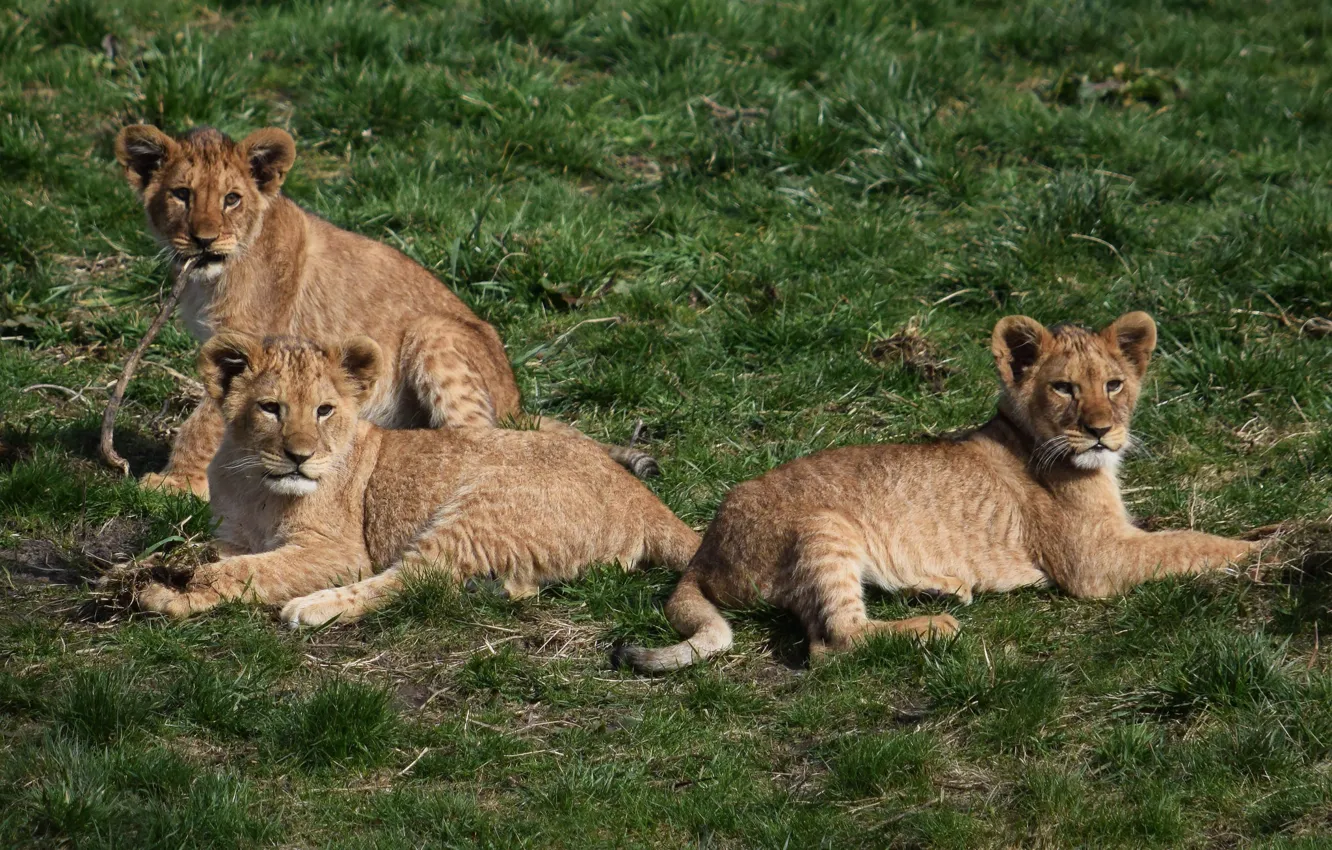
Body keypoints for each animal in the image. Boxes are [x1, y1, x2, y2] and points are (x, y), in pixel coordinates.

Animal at [114, 124, 655, 500]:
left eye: (232, 199)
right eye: (181, 195)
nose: (203, 240)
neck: (212, 276)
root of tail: (517, 401)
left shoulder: (253, 340)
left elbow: (205, 419)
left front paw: (176, 482)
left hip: (433, 332)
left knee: (476, 439)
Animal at [134, 333, 700, 624]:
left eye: (324, 410)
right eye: (270, 408)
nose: (300, 456)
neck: (256, 485)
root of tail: (639, 496)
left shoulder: (338, 551)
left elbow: (252, 571)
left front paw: (170, 592)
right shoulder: (231, 535)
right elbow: (222, 558)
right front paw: (162, 569)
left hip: (480, 510)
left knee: (414, 579)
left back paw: (313, 608)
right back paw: (492, 590)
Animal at [615, 312, 1267, 672]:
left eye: (1114, 384)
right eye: (1063, 388)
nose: (1102, 431)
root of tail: (704, 552)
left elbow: (1175, 536)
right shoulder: (1095, 560)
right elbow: (1187, 543)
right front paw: (1270, 550)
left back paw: (939, 588)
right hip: (824, 526)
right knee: (833, 643)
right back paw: (936, 626)